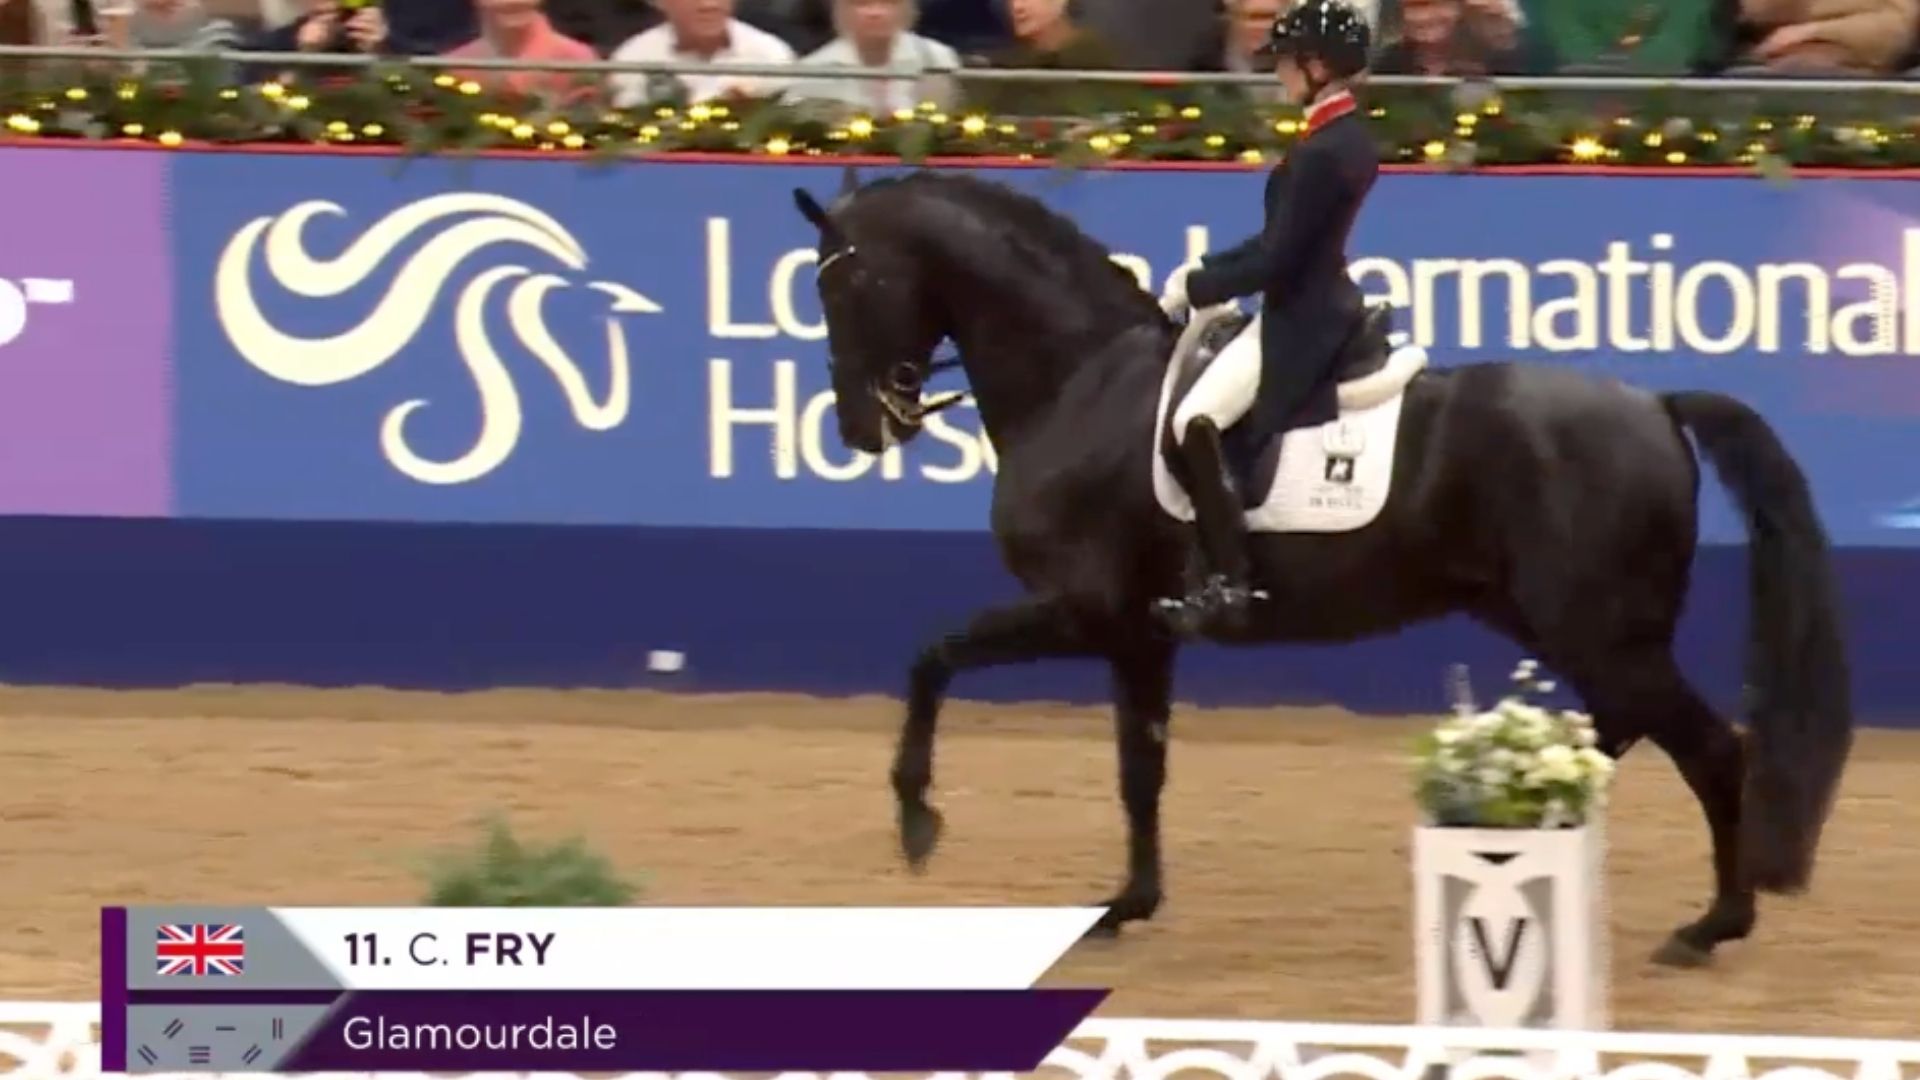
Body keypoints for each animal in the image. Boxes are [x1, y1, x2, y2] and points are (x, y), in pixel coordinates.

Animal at [789, 166, 1853, 968]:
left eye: (842, 287)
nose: (861, 429)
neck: (1081, 381)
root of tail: (1657, 406)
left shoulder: (1081, 608)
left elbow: (934, 658)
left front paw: (917, 821)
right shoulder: (1140, 633)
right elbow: (1140, 768)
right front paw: (1126, 903)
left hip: (1602, 630)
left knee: (1707, 749)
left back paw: (1708, 927)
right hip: (1556, 621)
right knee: (1618, 733)